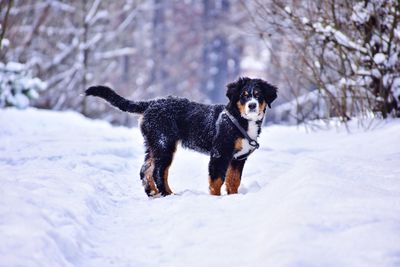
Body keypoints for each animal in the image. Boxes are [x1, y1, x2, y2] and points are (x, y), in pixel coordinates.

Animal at [85, 77, 276, 197]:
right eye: (244, 96)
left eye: (258, 95)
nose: (252, 105)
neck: (239, 120)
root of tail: (152, 103)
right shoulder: (220, 154)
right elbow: (216, 181)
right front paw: (216, 199)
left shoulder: (238, 158)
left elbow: (233, 181)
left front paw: (233, 197)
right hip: (164, 143)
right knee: (158, 171)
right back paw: (167, 194)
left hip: (155, 143)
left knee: (146, 169)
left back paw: (153, 193)